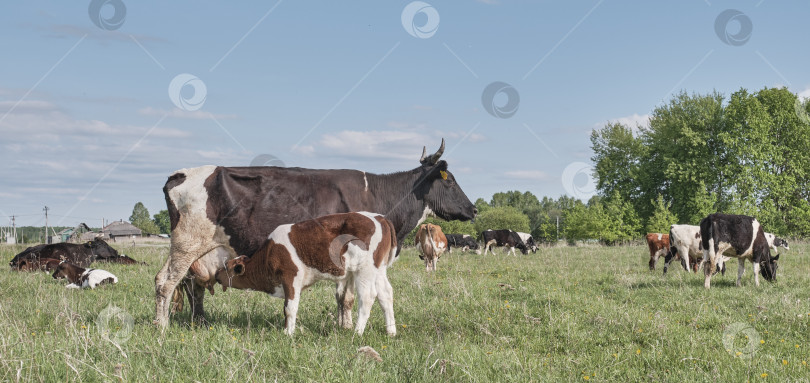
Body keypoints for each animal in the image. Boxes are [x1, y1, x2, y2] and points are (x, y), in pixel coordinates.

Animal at [211, 213, 394, 336]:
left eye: (226, 266)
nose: (216, 274)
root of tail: (379, 217)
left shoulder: (290, 276)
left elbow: (289, 308)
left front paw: (288, 333)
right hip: (379, 269)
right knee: (385, 294)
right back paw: (391, 331)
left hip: (364, 270)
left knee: (368, 297)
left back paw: (357, 332)